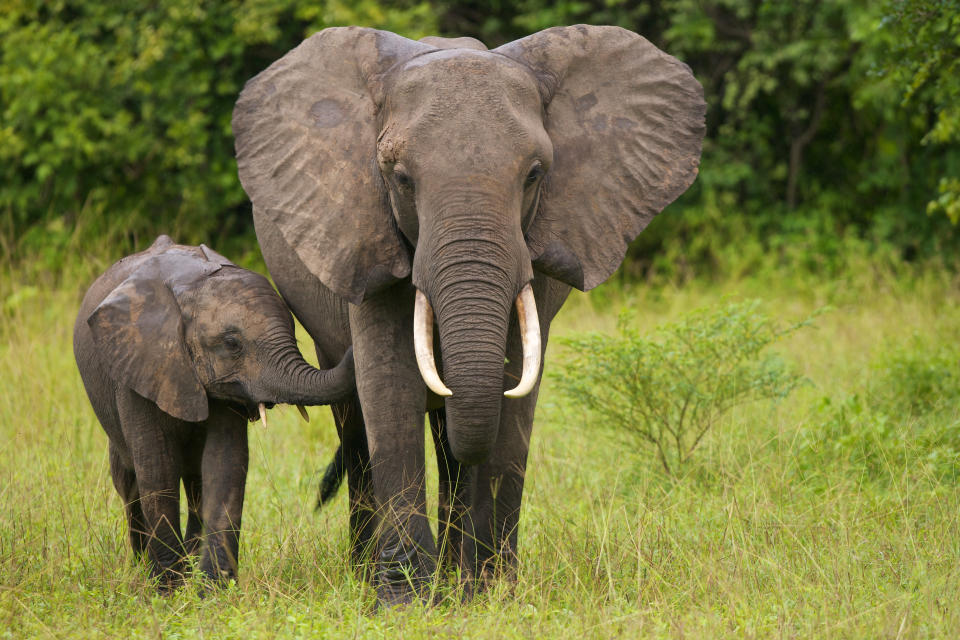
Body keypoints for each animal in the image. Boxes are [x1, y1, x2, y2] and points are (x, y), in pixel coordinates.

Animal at [73, 235, 354, 592]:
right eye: (232, 343)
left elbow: (225, 463)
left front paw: (213, 591)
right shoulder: (139, 366)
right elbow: (157, 466)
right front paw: (168, 590)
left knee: (195, 482)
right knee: (129, 481)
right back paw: (141, 566)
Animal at [234, 25, 704, 604]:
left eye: (534, 175)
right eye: (400, 178)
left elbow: (514, 390)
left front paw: (493, 594)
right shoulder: (364, 229)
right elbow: (389, 386)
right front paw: (403, 601)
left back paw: (456, 579)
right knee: (358, 425)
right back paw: (374, 574)